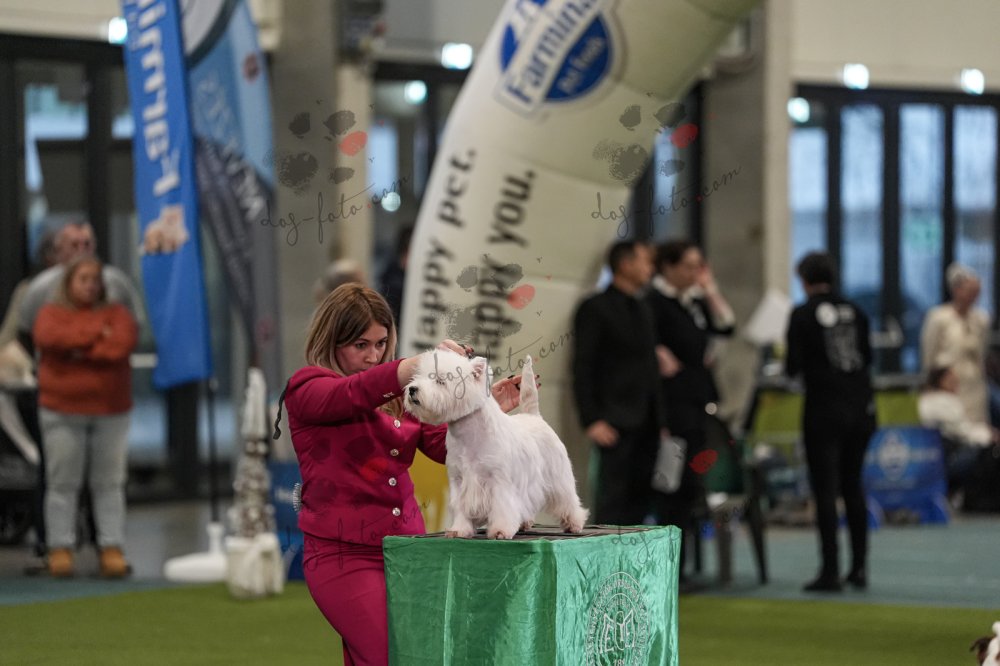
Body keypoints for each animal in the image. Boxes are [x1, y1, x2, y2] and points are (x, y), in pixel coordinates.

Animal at [403, 350, 588, 540]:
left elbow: (502, 507)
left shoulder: (499, 480)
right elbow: (460, 507)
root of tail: (534, 416)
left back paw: (574, 524)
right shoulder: (458, 480)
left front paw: (500, 530)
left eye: (440, 380)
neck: (468, 435)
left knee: (567, 500)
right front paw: (459, 529)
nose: (412, 389)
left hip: (558, 476)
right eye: (418, 376)